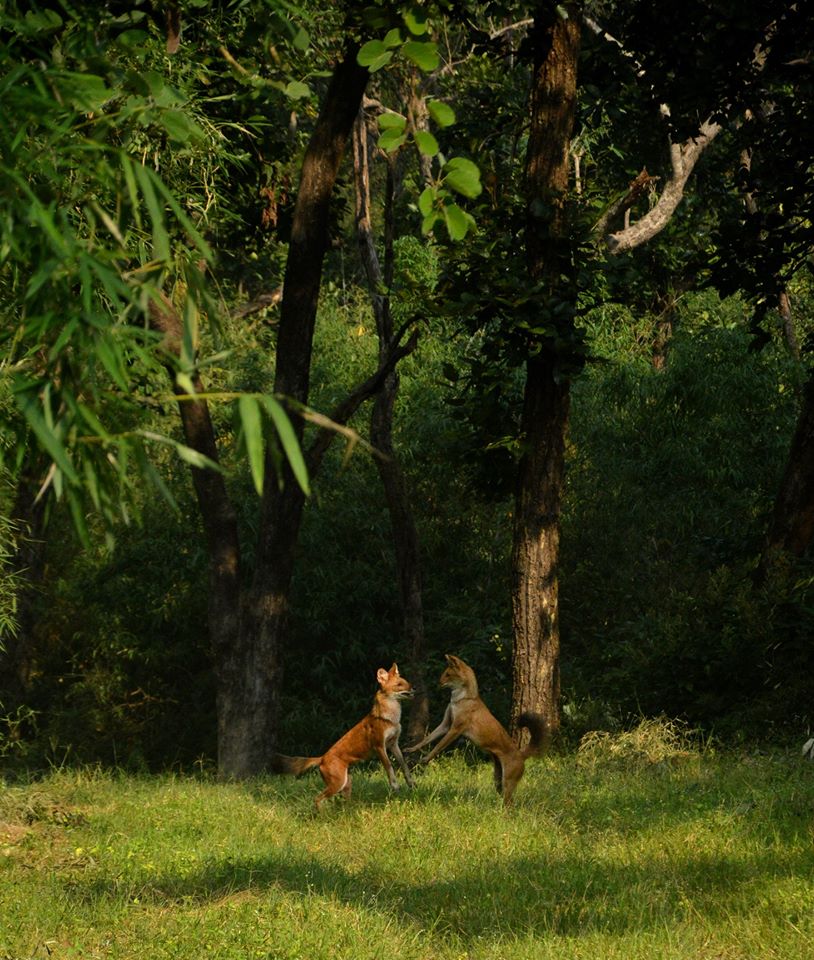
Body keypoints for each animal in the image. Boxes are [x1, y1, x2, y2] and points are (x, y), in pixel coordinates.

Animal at [272, 660, 414, 808]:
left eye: (406, 681)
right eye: (399, 684)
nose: (413, 689)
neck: (392, 718)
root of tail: (322, 758)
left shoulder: (393, 744)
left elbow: (404, 765)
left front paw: (411, 784)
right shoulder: (379, 746)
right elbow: (389, 767)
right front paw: (395, 787)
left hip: (347, 782)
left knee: (342, 803)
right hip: (338, 783)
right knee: (317, 798)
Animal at [408, 656, 548, 808]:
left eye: (448, 674)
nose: (438, 683)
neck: (463, 699)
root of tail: (521, 755)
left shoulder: (455, 729)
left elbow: (438, 746)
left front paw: (425, 759)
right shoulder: (445, 725)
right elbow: (426, 740)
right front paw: (410, 749)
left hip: (507, 782)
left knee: (510, 803)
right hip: (498, 780)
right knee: (507, 800)